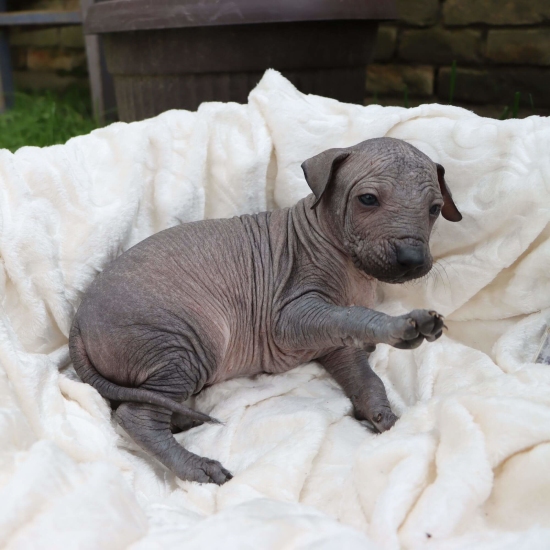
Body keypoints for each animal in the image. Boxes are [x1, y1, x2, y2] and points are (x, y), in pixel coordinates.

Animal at [70, 138, 466, 488]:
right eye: (367, 199)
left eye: (434, 209)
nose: (412, 259)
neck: (348, 264)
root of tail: (78, 321)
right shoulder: (289, 318)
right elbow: (353, 316)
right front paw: (402, 325)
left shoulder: (335, 346)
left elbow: (366, 376)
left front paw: (383, 416)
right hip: (183, 339)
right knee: (133, 415)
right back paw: (196, 465)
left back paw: (179, 419)